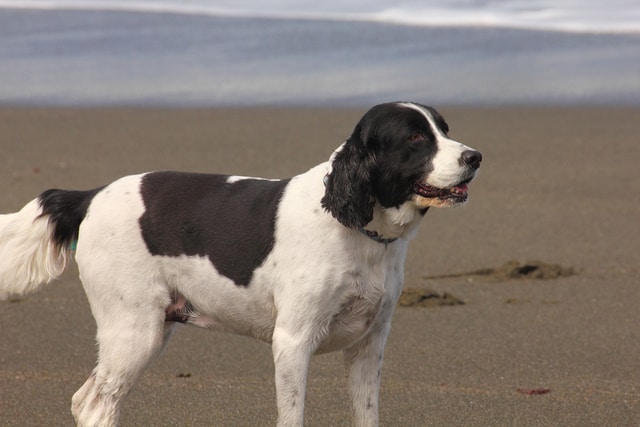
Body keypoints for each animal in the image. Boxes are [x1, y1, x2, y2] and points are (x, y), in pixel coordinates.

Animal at [0, 102, 480, 426]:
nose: (475, 157)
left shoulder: (369, 343)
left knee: (86, 400)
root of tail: (89, 195)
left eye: (444, 129)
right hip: (133, 330)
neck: (356, 230)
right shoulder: (293, 341)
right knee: (96, 405)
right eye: (415, 138)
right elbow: (292, 416)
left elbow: (366, 414)